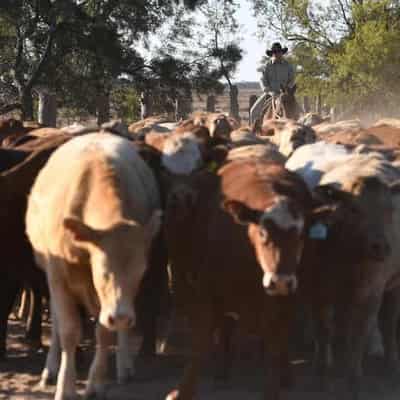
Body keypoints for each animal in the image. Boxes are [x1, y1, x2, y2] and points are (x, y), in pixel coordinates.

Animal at [25, 134, 161, 400]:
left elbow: (103, 332)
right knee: (56, 320)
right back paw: (51, 367)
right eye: (104, 271)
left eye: (140, 273)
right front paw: (66, 387)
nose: (121, 316)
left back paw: (124, 364)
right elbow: (68, 330)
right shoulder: (57, 276)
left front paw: (96, 383)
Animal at [163, 159, 318, 400]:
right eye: (263, 233)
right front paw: (183, 390)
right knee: (226, 326)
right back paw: (222, 370)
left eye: (301, 235)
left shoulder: (283, 300)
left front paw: (273, 389)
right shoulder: (208, 290)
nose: (280, 281)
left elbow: (275, 340)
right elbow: (201, 340)